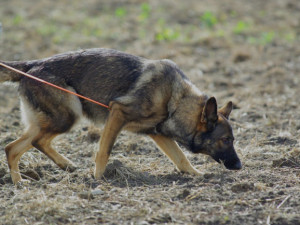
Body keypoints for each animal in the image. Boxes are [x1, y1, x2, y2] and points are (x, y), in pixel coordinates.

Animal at [0, 48, 241, 184]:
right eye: (225, 140)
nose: (239, 166)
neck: (176, 102)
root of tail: (33, 64)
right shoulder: (117, 113)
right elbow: (104, 151)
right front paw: (98, 179)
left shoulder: (158, 133)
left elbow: (181, 158)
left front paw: (197, 174)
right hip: (67, 116)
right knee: (35, 142)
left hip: (48, 121)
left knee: (14, 147)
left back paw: (23, 181)